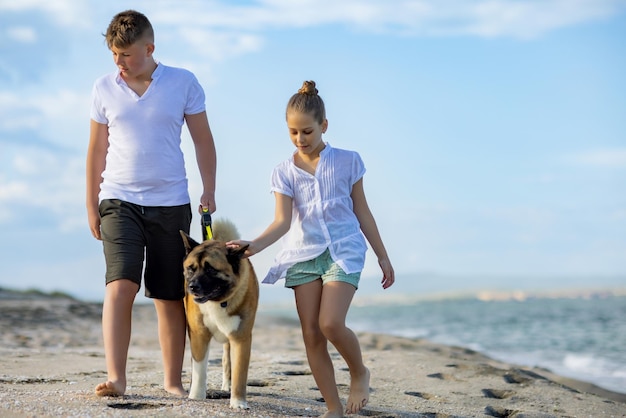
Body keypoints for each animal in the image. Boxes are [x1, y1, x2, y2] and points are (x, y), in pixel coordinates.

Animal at [179, 220, 258, 410]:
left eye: (211, 270)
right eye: (191, 269)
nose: (192, 287)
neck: (218, 301)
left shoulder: (240, 337)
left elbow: (239, 372)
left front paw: (238, 402)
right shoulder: (198, 335)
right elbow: (199, 369)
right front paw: (196, 396)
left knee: (227, 363)